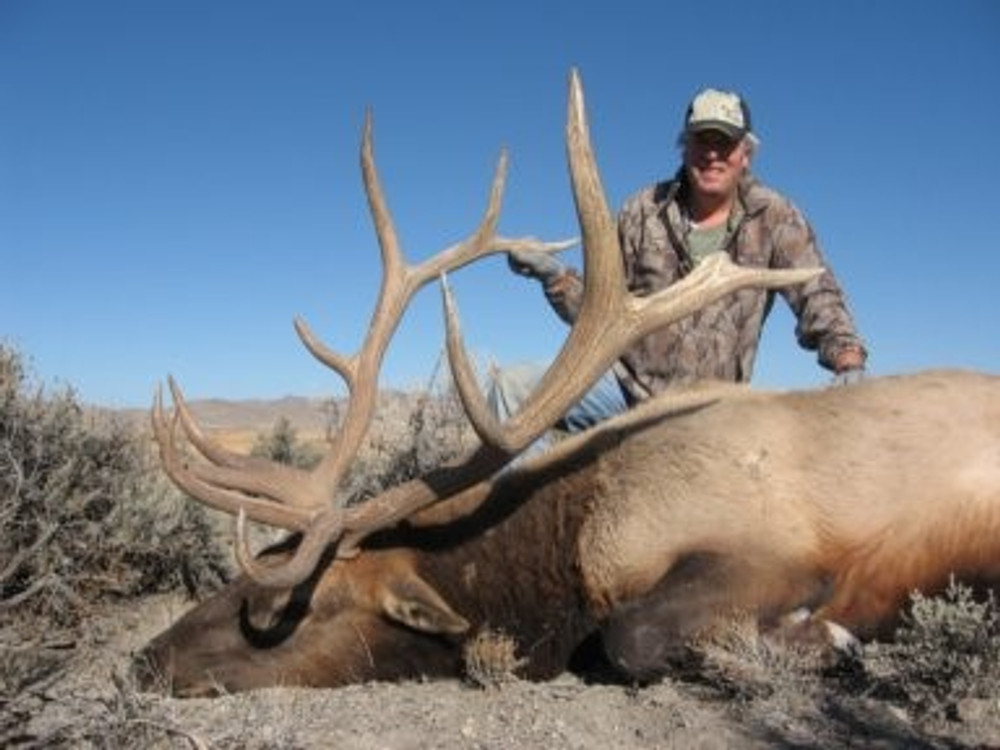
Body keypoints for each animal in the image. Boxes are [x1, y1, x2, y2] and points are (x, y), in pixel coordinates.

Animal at [135, 72, 1000, 700]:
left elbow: (632, 638)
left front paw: (835, 643)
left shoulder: (774, 550)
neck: (568, 550)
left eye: (284, 608)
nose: (142, 661)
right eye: (258, 560)